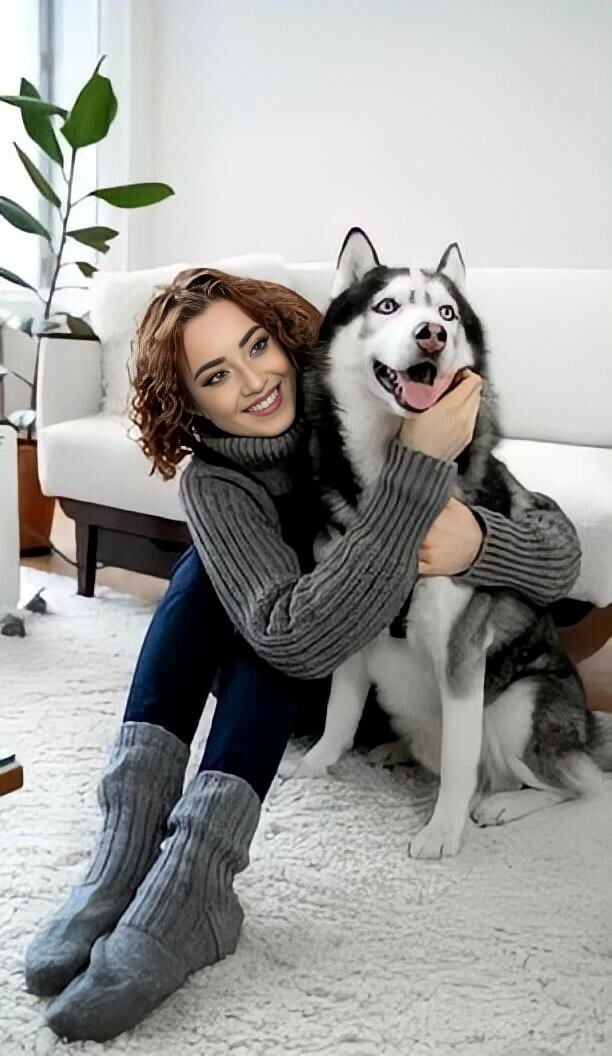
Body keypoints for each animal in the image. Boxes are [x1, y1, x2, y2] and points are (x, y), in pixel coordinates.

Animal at [286, 227, 612, 859]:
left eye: (446, 314)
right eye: (388, 305)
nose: (431, 336)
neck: (396, 479)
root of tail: (588, 731)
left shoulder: (462, 654)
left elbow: (461, 764)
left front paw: (441, 831)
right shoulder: (348, 619)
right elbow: (339, 714)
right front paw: (316, 764)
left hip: (518, 705)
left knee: (577, 784)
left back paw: (503, 803)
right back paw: (396, 751)